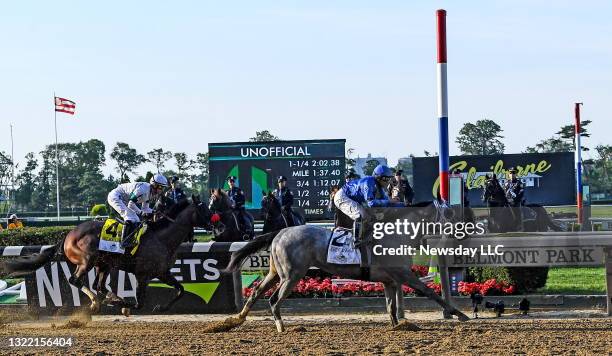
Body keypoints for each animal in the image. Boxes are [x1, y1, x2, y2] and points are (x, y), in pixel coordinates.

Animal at [1, 195, 213, 314]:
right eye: (204, 208)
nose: (216, 223)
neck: (162, 238)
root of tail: (67, 235)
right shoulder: (142, 275)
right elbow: (139, 303)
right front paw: (123, 305)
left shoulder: (162, 272)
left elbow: (181, 289)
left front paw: (160, 307)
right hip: (87, 259)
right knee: (76, 280)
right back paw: (97, 302)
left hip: (104, 264)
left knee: (99, 285)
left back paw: (108, 298)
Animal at [225, 202, 468, 332]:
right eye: (449, 214)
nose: (463, 231)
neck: (397, 234)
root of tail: (280, 232)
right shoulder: (405, 275)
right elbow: (430, 292)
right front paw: (460, 314)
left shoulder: (389, 280)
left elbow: (391, 306)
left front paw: (397, 326)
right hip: (292, 275)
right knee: (274, 299)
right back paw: (281, 326)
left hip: (277, 273)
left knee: (256, 291)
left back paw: (238, 318)